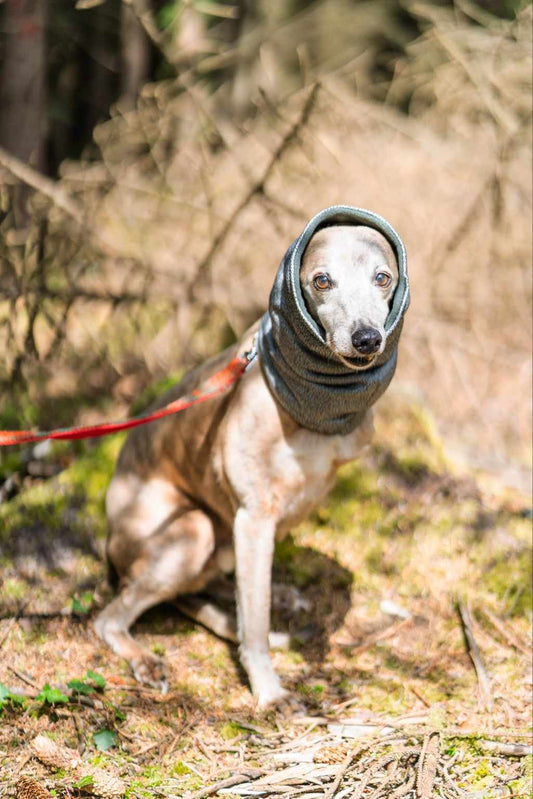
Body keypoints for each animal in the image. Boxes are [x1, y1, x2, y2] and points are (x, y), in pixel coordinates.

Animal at [94, 208, 408, 712]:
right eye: (321, 280)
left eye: (383, 278)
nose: (366, 339)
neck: (316, 409)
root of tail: (111, 548)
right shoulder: (255, 514)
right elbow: (254, 621)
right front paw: (268, 688)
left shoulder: (264, 517)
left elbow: (251, 599)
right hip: (192, 529)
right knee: (112, 618)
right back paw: (145, 660)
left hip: (221, 538)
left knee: (209, 586)